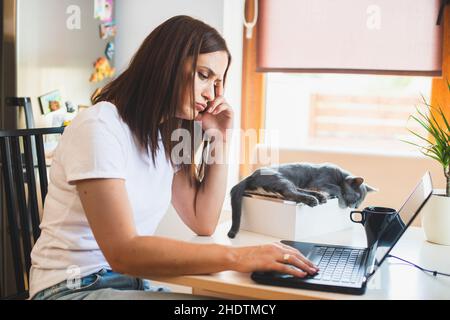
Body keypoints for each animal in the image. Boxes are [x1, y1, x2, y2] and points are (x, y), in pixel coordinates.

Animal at [227, 164, 378, 239]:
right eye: (356, 199)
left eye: (360, 203)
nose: (355, 207)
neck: (340, 176)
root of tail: (250, 176)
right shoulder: (321, 181)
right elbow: (336, 188)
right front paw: (339, 197)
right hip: (281, 179)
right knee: (290, 193)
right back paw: (313, 199)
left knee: (296, 192)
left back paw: (318, 196)